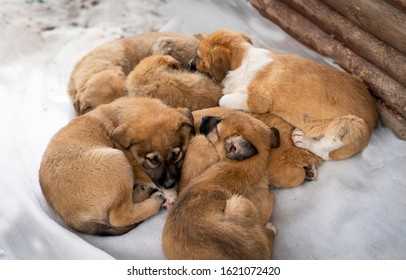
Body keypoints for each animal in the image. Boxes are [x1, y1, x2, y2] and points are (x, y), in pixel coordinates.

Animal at [39, 96, 195, 234]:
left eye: (176, 155)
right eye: (153, 160)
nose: (170, 184)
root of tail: (72, 218)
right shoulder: (134, 164)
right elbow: (150, 177)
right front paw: (171, 193)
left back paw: (142, 192)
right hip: (117, 159)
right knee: (120, 216)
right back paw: (154, 201)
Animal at [190, 28, 378, 161]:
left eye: (198, 56)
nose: (189, 64)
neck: (243, 60)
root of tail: (375, 120)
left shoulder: (257, 100)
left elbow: (224, 99)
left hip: (352, 126)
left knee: (325, 151)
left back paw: (303, 140)